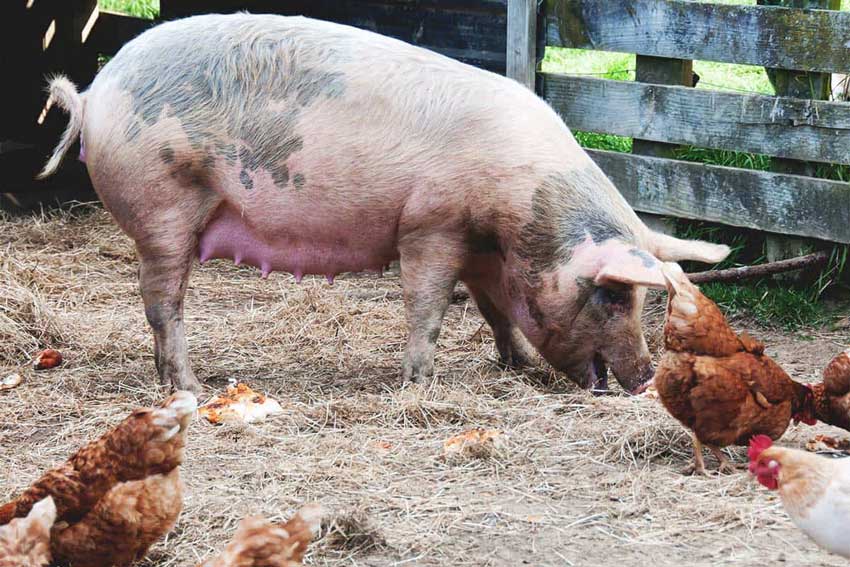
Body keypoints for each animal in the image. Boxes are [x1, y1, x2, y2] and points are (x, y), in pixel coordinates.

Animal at [39, 13, 724, 394]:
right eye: (612, 295)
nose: (647, 378)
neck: (514, 213)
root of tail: (96, 92)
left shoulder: (482, 250)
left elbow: (496, 310)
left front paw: (521, 367)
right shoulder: (431, 224)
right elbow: (428, 307)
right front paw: (419, 382)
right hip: (164, 204)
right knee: (162, 304)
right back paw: (192, 387)